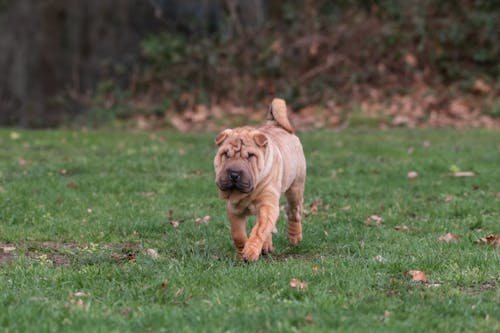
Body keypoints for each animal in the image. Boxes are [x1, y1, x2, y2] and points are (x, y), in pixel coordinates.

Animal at [212, 98, 304, 262]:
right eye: (226, 155)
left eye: (250, 156)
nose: (234, 174)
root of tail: (276, 124)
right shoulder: (233, 209)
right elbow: (238, 234)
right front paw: (242, 252)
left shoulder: (267, 205)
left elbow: (259, 230)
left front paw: (250, 252)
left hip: (296, 187)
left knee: (294, 211)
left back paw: (294, 237)